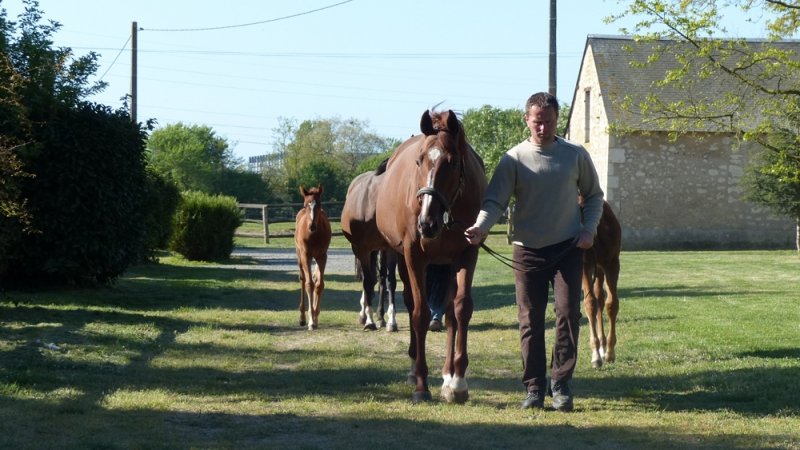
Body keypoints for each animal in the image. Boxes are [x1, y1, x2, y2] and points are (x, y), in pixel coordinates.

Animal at [294, 184, 332, 330]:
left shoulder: (322, 256)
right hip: (300, 256)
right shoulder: (306, 255)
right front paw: (310, 320)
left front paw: (315, 317)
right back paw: (302, 318)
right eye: (306, 205)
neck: (314, 235)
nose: (312, 226)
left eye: (319, 204)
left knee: (316, 279)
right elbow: (309, 284)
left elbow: (319, 285)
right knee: (303, 279)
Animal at [341, 162, 399, 332]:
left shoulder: (390, 249)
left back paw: (380, 317)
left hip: (379, 250)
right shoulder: (363, 249)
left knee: (379, 278)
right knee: (368, 279)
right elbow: (367, 281)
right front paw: (369, 320)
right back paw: (365, 314)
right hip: (360, 250)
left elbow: (390, 281)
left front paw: (391, 321)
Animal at [375, 109, 486, 403]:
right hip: (402, 260)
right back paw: (414, 370)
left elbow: (461, 309)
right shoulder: (414, 257)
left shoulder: (466, 254)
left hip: (446, 264)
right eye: (419, 160)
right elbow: (419, 313)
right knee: (410, 302)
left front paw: (458, 382)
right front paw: (421, 386)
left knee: (449, 312)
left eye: (453, 161)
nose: (426, 223)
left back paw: (448, 376)